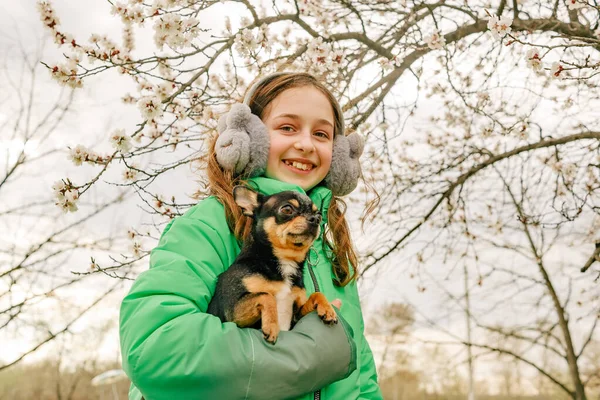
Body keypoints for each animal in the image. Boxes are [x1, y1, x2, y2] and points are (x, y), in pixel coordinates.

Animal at [206, 186, 338, 342]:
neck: (286, 261)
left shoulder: (296, 316)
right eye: (287, 209)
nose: (316, 219)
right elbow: (266, 295)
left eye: (318, 214)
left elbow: (317, 294)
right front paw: (272, 326)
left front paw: (328, 309)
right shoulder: (232, 311)